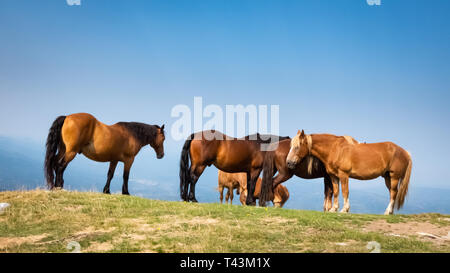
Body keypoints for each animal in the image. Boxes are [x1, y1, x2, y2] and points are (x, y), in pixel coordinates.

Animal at [286, 130, 414, 215]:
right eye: (291, 146)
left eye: (297, 146)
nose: (288, 162)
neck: (335, 149)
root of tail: (405, 152)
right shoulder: (333, 176)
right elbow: (336, 192)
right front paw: (334, 209)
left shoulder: (344, 175)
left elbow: (345, 191)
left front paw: (344, 209)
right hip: (387, 177)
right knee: (392, 193)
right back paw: (390, 212)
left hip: (394, 177)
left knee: (393, 193)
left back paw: (387, 212)